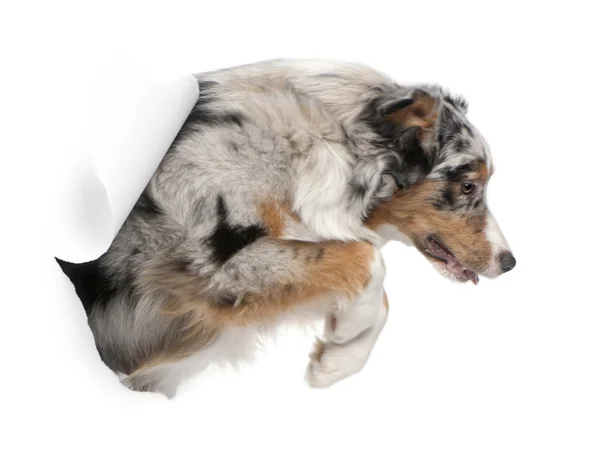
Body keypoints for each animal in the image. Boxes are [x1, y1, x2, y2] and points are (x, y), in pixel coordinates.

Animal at [57, 58, 516, 398]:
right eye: (468, 185)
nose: (509, 262)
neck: (321, 143)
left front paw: (337, 359)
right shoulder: (205, 265)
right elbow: (367, 258)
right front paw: (348, 329)